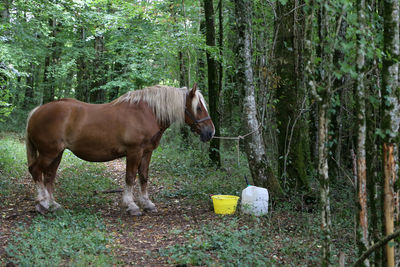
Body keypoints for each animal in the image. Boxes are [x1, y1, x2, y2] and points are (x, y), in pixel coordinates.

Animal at [25, 85, 216, 217]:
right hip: (48, 153)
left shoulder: (147, 152)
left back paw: (52, 204)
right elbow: (130, 178)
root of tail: (37, 111)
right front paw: (131, 205)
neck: (146, 113)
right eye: (198, 108)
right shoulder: (134, 152)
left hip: (57, 153)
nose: (210, 132)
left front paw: (147, 204)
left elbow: (144, 177)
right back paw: (42, 204)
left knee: (49, 176)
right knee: (35, 170)